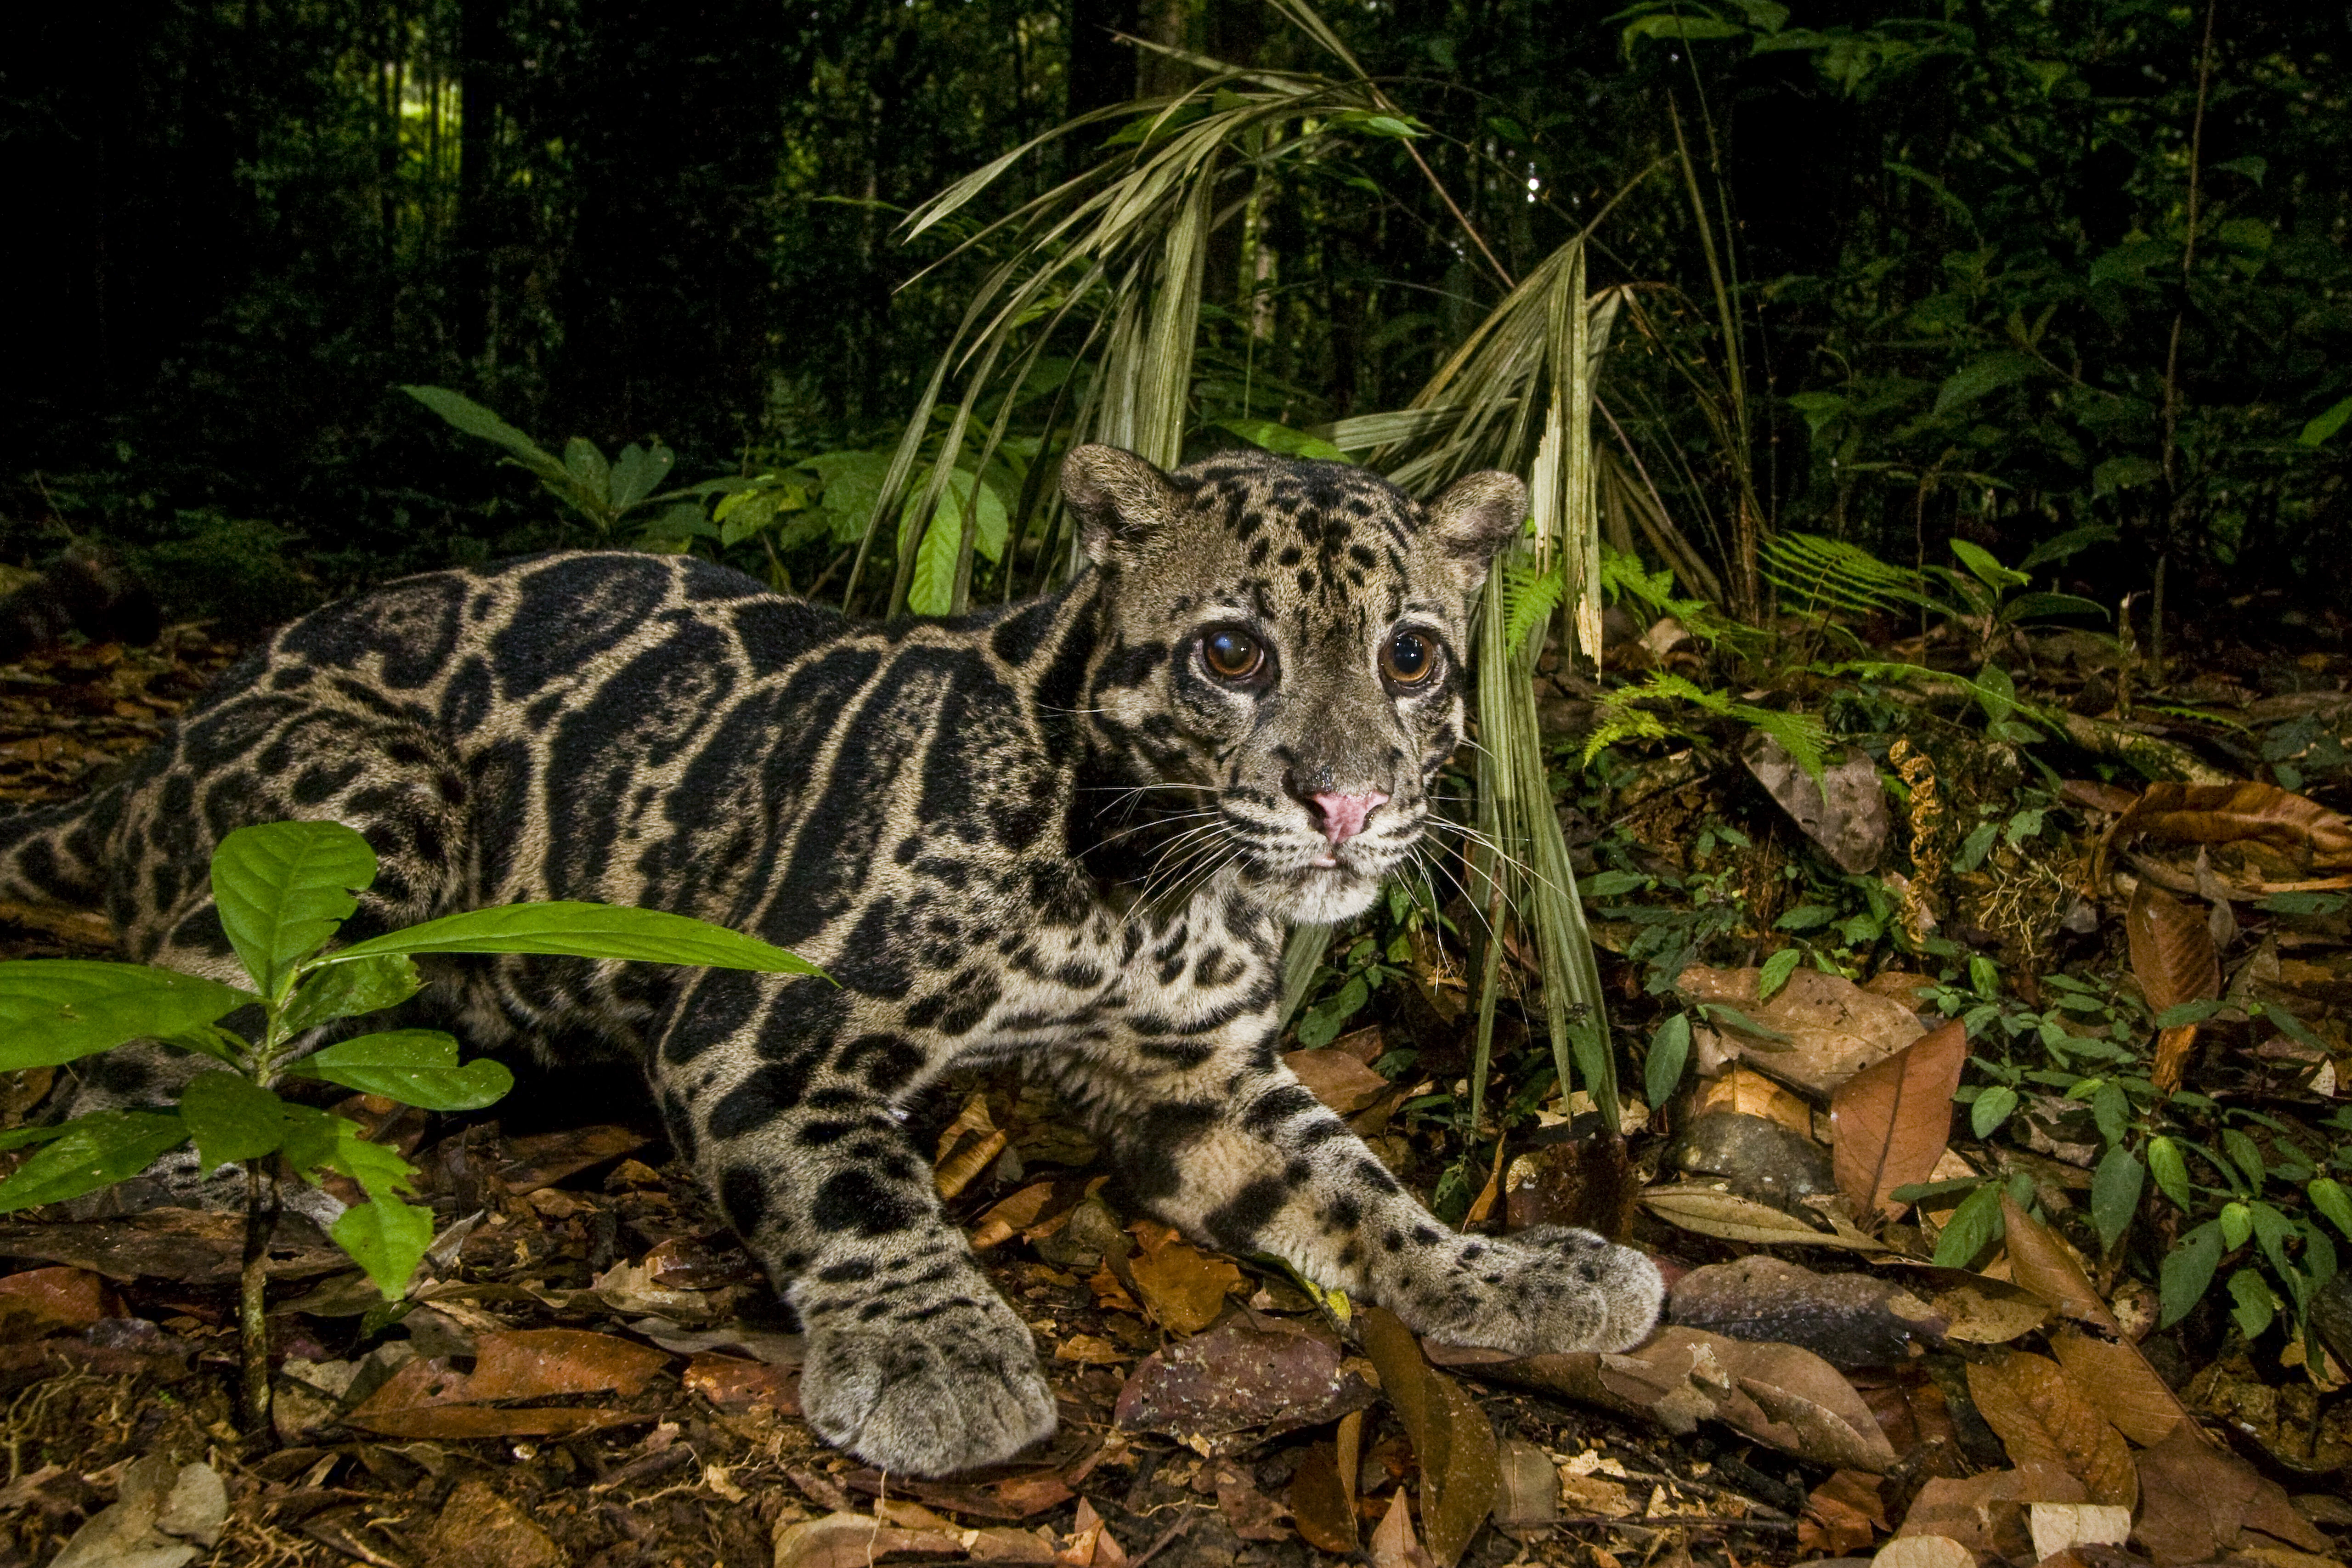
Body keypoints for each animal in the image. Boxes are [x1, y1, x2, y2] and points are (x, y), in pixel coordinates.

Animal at [0, 447, 1665, 1476]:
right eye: (1232, 654)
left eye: (1413, 657)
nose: (1349, 802)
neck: (1151, 886)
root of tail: (166, 737)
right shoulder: (761, 1016)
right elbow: (859, 1188)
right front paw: (937, 1350)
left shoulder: (1198, 1077)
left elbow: (1355, 1185)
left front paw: (1510, 1269)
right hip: (367, 811)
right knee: (136, 1065)